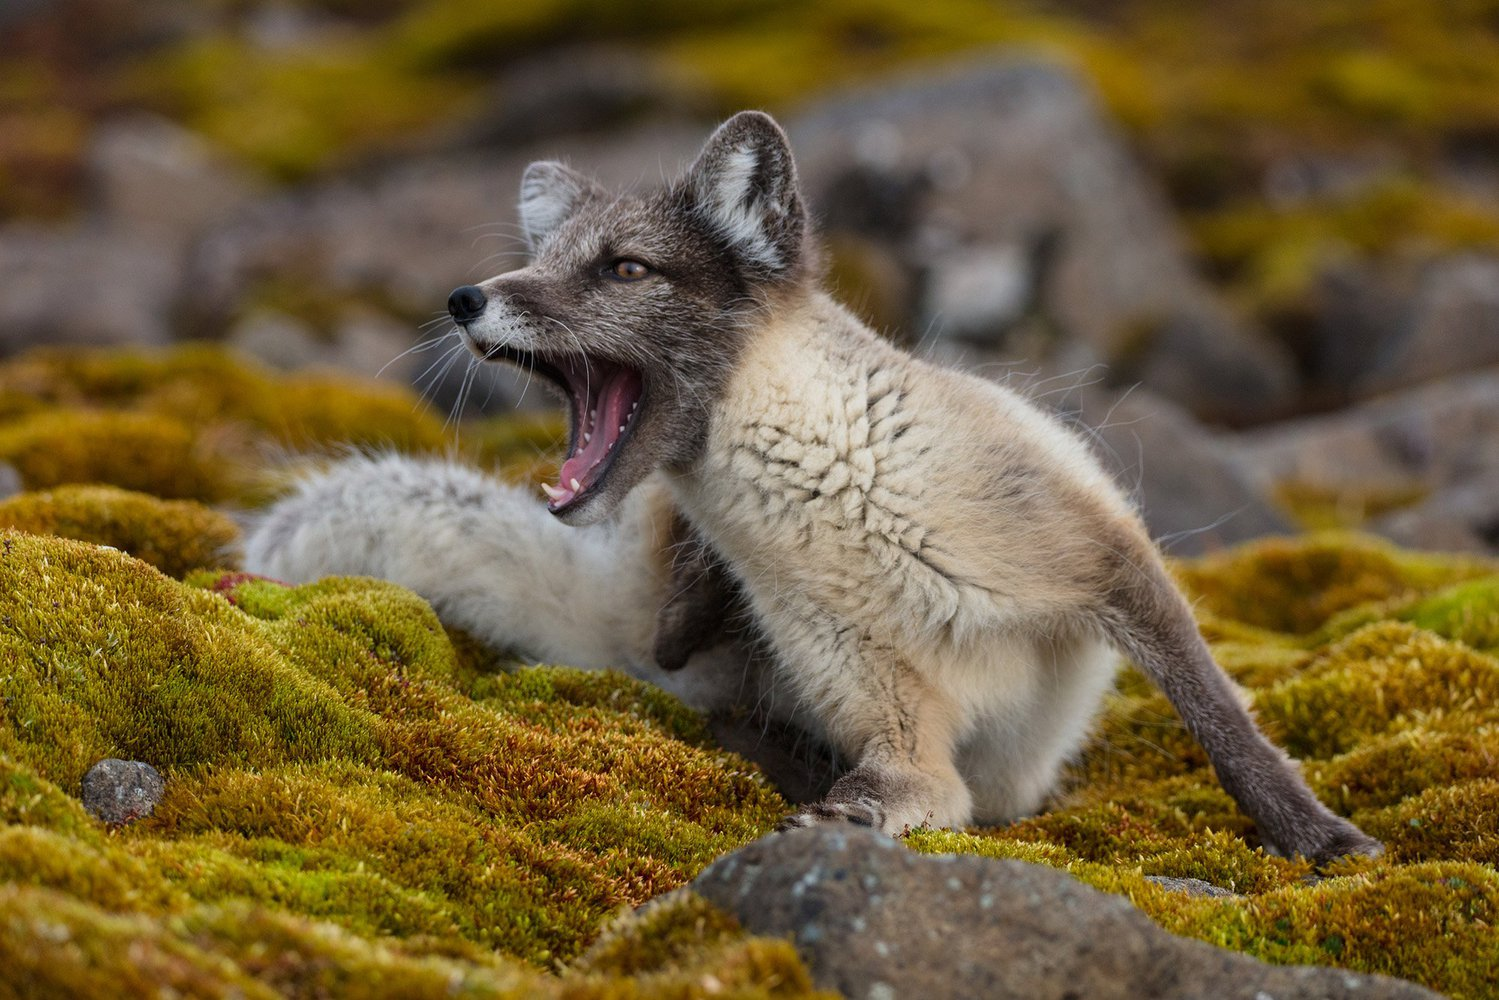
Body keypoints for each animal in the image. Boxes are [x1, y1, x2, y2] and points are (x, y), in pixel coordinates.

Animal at [248, 107, 1379, 863]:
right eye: (544, 258)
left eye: (623, 269)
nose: (465, 297)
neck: (845, 504)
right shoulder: (878, 697)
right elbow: (912, 785)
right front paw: (842, 810)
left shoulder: (1107, 556)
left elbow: (1228, 729)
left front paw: (1321, 838)